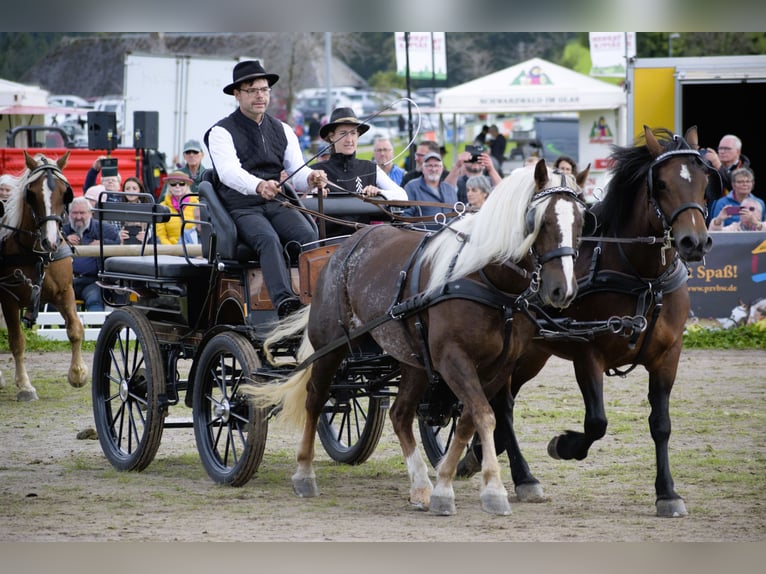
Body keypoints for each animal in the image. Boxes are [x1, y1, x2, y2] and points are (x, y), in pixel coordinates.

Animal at [0, 151, 88, 401]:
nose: (51, 241)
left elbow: (75, 329)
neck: (37, 253)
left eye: (65, 192)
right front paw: (25, 386)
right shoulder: (8, 298)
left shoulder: (65, 291)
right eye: (31, 194)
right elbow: (17, 341)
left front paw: (78, 374)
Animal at [248, 160, 589, 516]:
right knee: (315, 400)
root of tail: (343, 247)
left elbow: (470, 419)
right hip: (331, 348)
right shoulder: (452, 358)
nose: (563, 290)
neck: (484, 277)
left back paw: (421, 485)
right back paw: (304, 472)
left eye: (582, 221)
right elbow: (484, 415)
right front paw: (492, 489)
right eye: (541, 221)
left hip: (412, 359)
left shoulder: (499, 366)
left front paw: (444, 486)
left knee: (399, 414)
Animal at [457, 125, 713, 518]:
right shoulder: (588, 353)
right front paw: (564, 445)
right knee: (502, 407)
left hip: (531, 356)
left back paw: (482, 455)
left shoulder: (668, 356)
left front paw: (667, 492)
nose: (694, 242)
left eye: (704, 182)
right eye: (662, 184)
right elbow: (596, 422)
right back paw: (522, 475)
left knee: (503, 405)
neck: (641, 276)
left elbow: (661, 424)